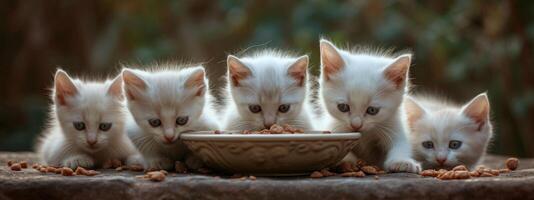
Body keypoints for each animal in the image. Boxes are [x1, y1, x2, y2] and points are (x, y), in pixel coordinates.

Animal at [318, 39, 422, 173]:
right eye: (343, 107)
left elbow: (400, 142)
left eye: (372, 110)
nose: (356, 125)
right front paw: (346, 160)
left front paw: (402, 161)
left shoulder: (393, 124)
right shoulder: (335, 127)